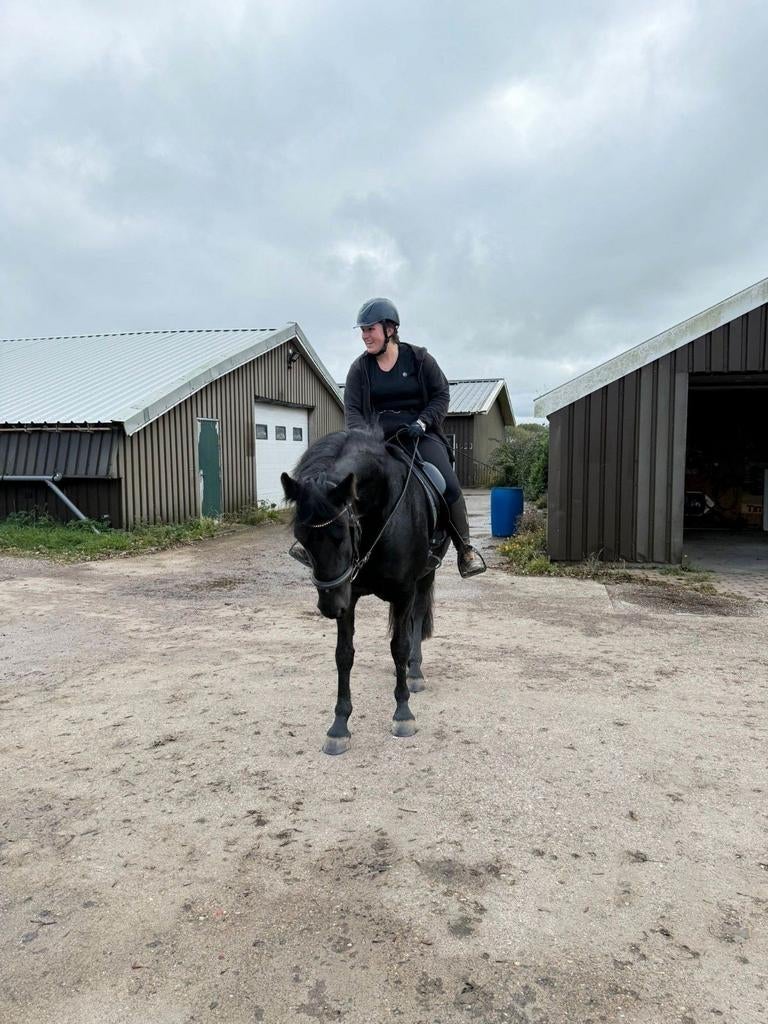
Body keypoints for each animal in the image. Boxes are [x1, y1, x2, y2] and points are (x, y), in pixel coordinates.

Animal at [281, 426, 450, 755]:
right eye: (301, 537)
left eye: (342, 533)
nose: (329, 608)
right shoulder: (348, 594)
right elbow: (343, 655)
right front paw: (339, 726)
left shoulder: (403, 591)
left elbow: (399, 646)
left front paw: (403, 714)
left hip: (425, 576)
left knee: (417, 617)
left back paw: (414, 672)